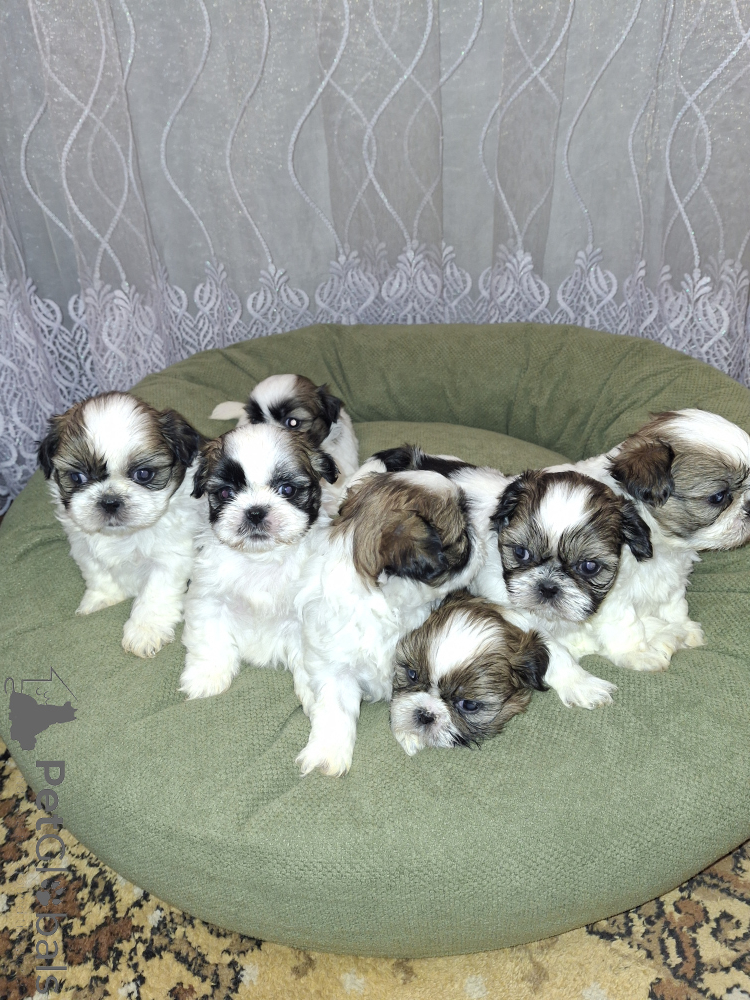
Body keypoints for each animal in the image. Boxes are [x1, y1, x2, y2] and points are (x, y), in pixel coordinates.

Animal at [37, 391, 204, 657]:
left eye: (143, 474)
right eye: (77, 477)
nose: (110, 500)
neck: (123, 535)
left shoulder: (171, 559)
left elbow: (155, 593)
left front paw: (144, 631)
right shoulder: (83, 548)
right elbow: (97, 573)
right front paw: (102, 598)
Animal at [179, 422, 338, 700]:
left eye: (287, 490)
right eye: (226, 492)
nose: (255, 512)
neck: (260, 558)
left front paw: (315, 694)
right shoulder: (208, 599)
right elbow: (209, 637)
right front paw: (207, 676)